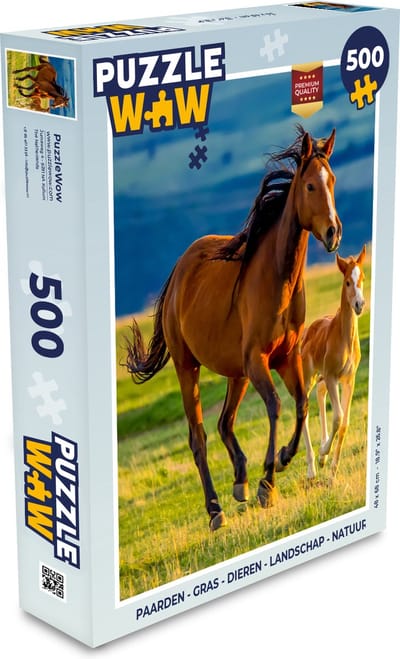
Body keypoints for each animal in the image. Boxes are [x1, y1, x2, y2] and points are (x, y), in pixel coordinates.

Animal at [124, 126, 342, 530]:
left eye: (331, 180)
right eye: (309, 186)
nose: (334, 233)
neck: (276, 279)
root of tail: (178, 272)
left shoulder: (286, 358)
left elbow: (301, 404)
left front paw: (282, 459)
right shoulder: (258, 361)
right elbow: (275, 406)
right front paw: (268, 483)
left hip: (235, 373)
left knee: (225, 422)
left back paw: (239, 481)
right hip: (189, 368)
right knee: (199, 436)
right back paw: (215, 509)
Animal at [301, 245, 366, 480]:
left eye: (362, 278)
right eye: (347, 281)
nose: (359, 305)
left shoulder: (348, 379)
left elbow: (344, 422)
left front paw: (333, 471)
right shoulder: (331, 376)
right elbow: (338, 417)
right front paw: (323, 453)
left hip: (322, 378)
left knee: (319, 394)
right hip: (309, 376)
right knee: (304, 408)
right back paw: (312, 468)